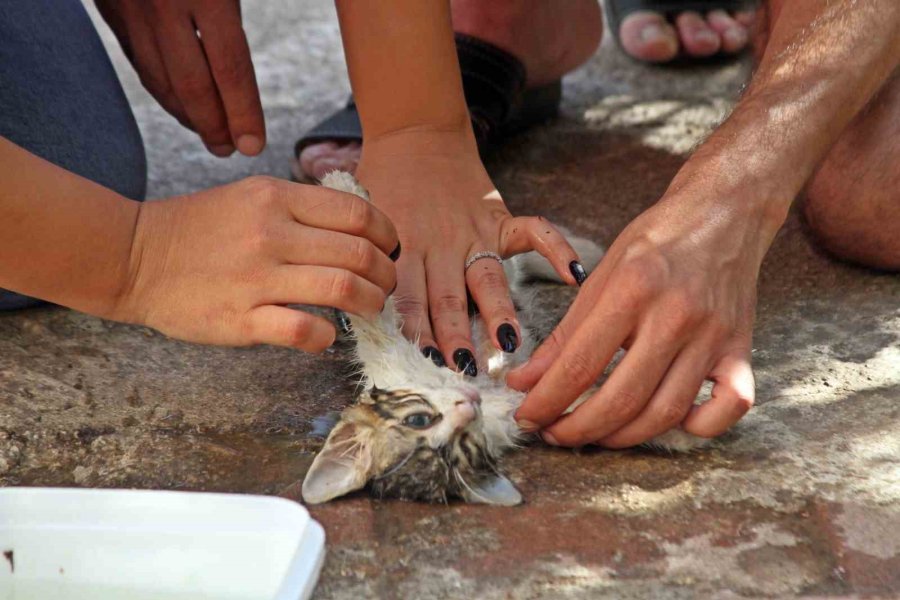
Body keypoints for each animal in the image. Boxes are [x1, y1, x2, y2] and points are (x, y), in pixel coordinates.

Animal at [302, 172, 704, 506]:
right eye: (462, 447)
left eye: (418, 420)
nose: (469, 403)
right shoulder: (516, 409)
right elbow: (576, 402)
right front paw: (681, 430)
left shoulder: (394, 353)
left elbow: (371, 312)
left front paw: (343, 190)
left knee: (515, 257)